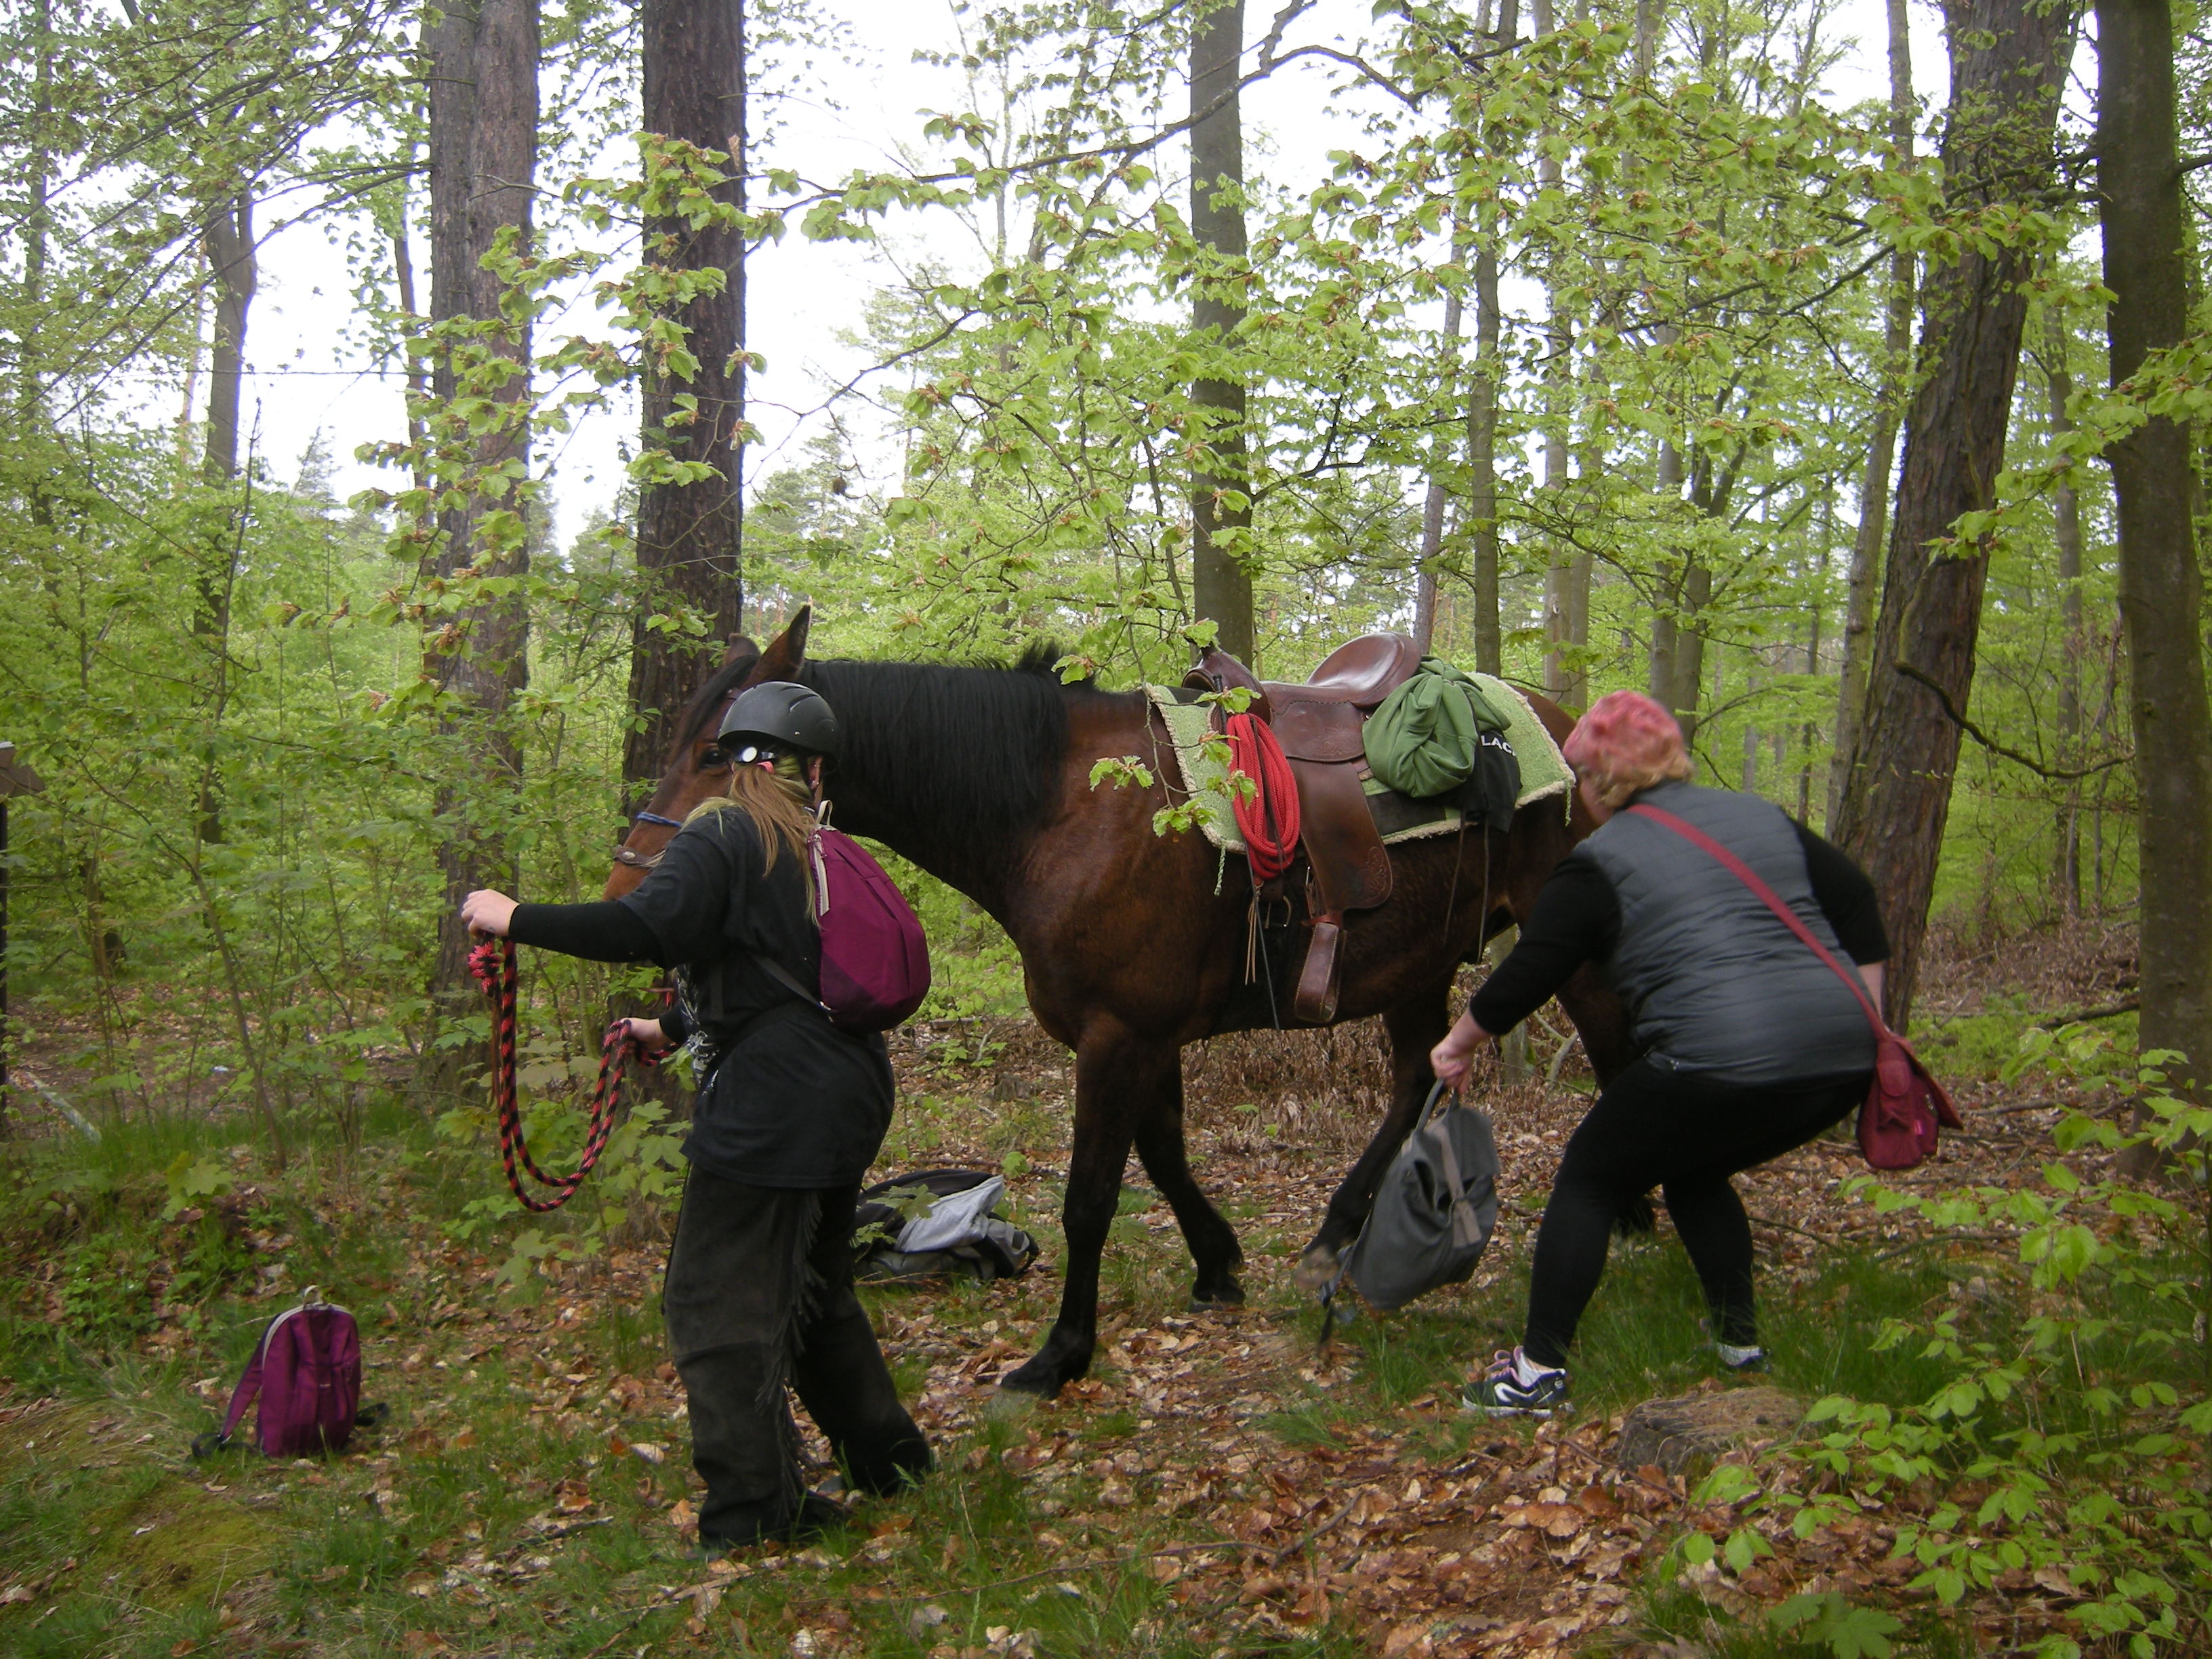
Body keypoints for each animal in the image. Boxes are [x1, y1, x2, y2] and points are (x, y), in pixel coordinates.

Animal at [597, 610, 1637, 1406]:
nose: (629, 892)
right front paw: (1218, 1264)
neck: (1058, 812)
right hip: (1416, 969)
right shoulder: (1142, 1037)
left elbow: (1092, 1195)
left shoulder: (1120, 1037)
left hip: (1564, 951)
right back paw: (1335, 1237)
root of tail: (1562, 723)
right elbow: (1165, 1153)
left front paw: (1062, 1355)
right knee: (1416, 1081)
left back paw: (1635, 1222)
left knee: (1614, 1050)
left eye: (716, 752)